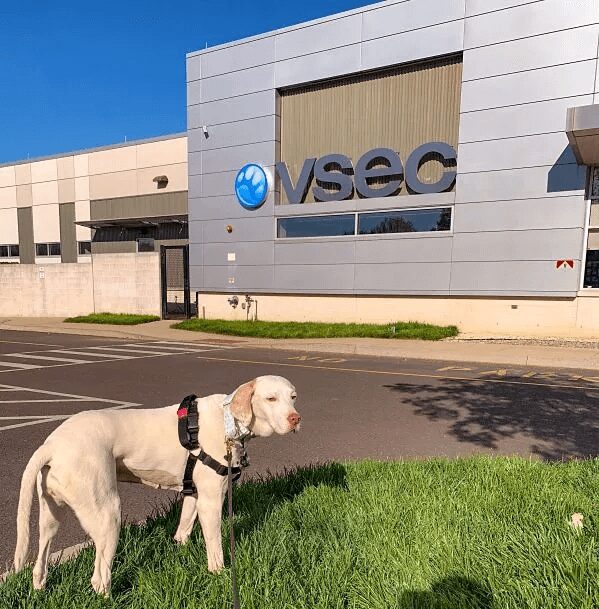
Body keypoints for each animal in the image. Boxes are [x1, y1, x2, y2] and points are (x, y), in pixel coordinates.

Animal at [12, 376, 304, 592]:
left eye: (293, 397)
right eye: (270, 398)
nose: (295, 419)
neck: (229, 421)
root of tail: (51, 445)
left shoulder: (193, 496)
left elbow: (183, 531)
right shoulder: (212, 500)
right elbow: (215, 546)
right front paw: (219, 573)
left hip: (51, 517)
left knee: (40, 564)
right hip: (108, 516)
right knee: (99, 577)